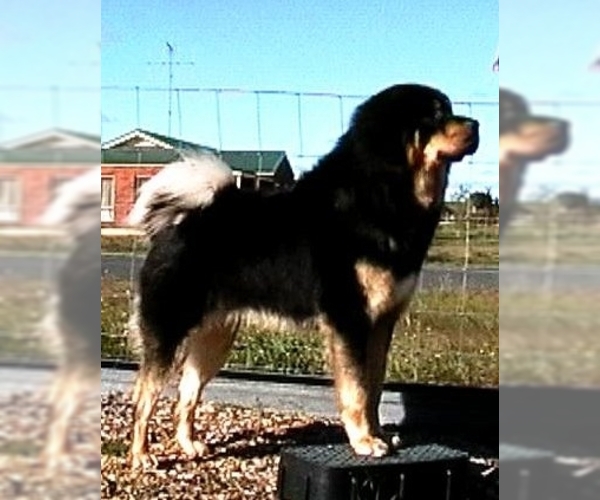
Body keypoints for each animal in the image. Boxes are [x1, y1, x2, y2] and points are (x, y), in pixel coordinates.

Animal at [126, 82, 478, 468]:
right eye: (435, 114)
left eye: (449, 109)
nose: (476, 125)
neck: (382, 190)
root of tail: (180, 221)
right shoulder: (350, 321)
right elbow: (356, 390)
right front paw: (363, 442)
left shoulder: (381, 324)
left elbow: (374, 388)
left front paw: (378, 435)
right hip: (169, 333)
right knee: (144, 396)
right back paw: (141, 456)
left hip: (214, 338)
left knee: (186, 395)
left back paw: (189, 445)